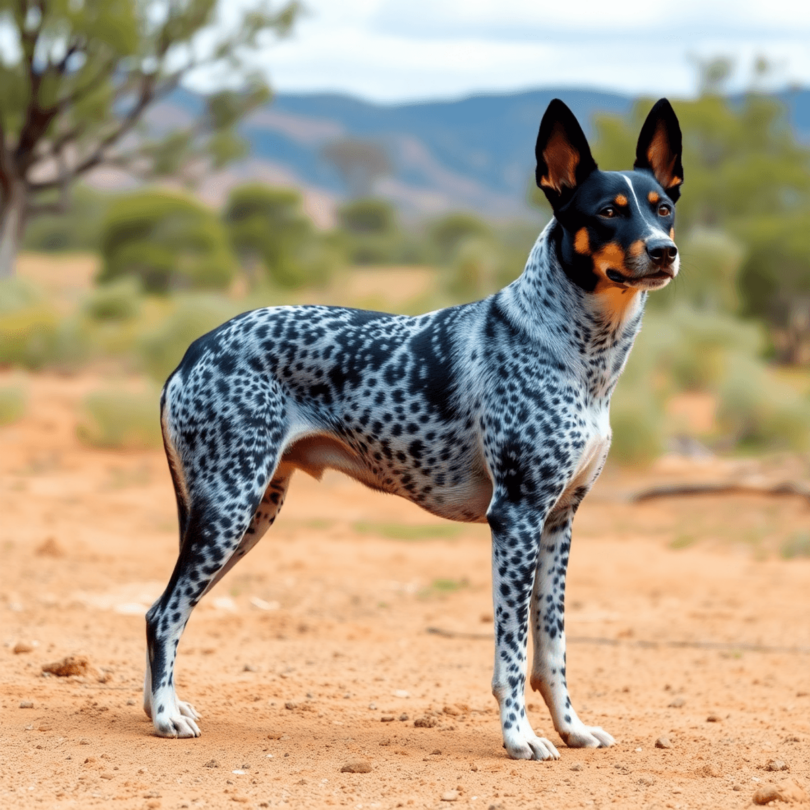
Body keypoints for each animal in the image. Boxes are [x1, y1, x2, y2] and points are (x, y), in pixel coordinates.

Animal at [144, 99, 680, 756]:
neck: (573, 351)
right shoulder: (516, 519)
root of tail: (195, 348)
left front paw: (571, 727)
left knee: (168, 610)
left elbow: (550, 649)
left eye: (663, 207)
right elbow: (512, 652)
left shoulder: (559, 521)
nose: (663, 250)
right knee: (164, 613)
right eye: (609, 211)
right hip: (228, 509)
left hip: (247, 515)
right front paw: (519, 736)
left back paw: (161, 706)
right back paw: (164, 715)